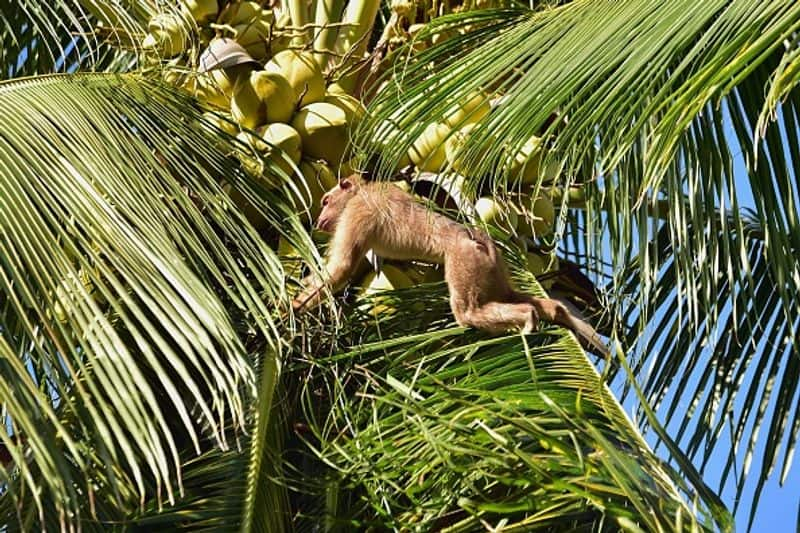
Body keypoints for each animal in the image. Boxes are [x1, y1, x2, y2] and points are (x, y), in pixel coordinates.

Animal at [290, 175, 608, 356]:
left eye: (326, 201)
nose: (319, 218)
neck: (363, 191)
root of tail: (480, 241)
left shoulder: (358, 211)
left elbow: (342, 267)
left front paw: (291, 308)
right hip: (494, 271)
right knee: (512, 296)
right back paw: (556, 313)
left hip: (465, 261)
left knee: (468, 312)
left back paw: (527, 317)